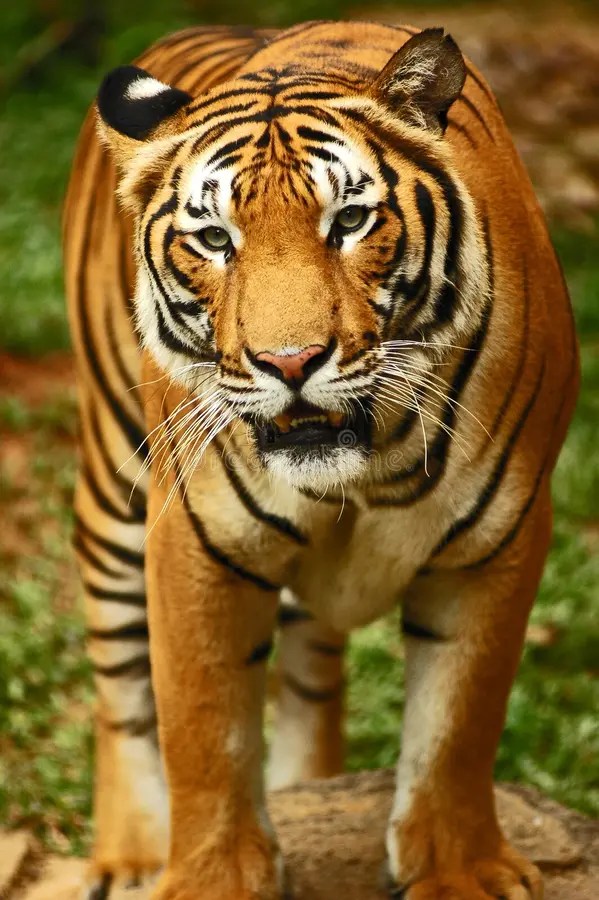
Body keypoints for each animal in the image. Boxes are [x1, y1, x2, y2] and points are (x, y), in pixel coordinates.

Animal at [62, 18, 579, 900]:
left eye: (349, 221)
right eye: (214, 239)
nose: (290, 361)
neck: (371, 466)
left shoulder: (497, 540)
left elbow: (458, 722)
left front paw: (458, 871)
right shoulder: (196, 541)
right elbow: (202, 727)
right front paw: (209, 878)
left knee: (309, 668)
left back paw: (310, 788)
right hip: (114, 485)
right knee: (120, 676)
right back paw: (129, 854)